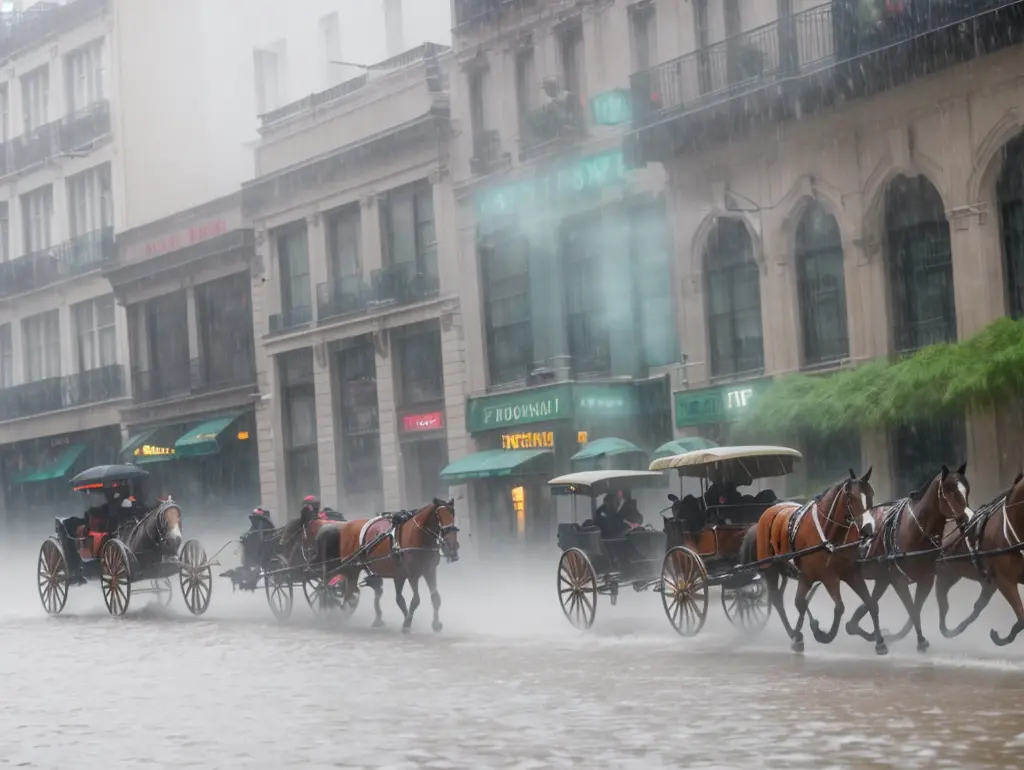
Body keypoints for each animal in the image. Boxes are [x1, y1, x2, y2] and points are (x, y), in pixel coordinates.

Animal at [319, 499, 460, 630]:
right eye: (439, 516)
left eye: (453, 514)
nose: (453, 547)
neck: (418, 537)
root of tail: (346, 526)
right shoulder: (412, 575)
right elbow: (415, 600)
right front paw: (407, 622)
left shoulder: (427, 571)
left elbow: (434, 598)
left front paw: (435, 624)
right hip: (349, 568)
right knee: (335, 586)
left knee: (355, 591)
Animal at [737, 468, 880, 655]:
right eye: (852, 497)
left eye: (871, 494)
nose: (868, 529)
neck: (828, 535)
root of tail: (757, 523)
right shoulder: (826, 577)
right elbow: (837, 607)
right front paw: (824, 634)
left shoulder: (850, 573)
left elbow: (871, 603)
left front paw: (879, 641)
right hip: (771, 570)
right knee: (778, 601)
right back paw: (796, 633)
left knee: (792, 600)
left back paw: (797, 632)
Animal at [835, 460, 970, 651]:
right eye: (950, 491)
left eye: (967, 489)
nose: (968, 518)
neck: (915, 529)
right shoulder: (898, 580)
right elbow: (911, 608)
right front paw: (920, 641)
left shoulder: (926, 578)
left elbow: (915, 607)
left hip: (880, 578)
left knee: (866, 607)